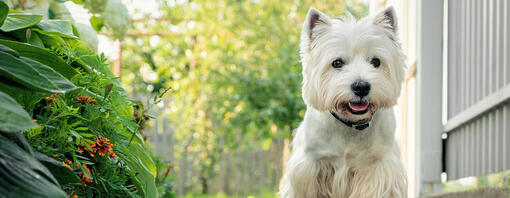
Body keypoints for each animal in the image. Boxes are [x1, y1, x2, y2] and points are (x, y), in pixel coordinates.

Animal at [278, 6, 406, 197]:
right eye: (337, 63)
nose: (361, 87)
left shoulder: (377, 165)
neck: (350, 126)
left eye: (376, 61)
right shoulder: (309, 165)